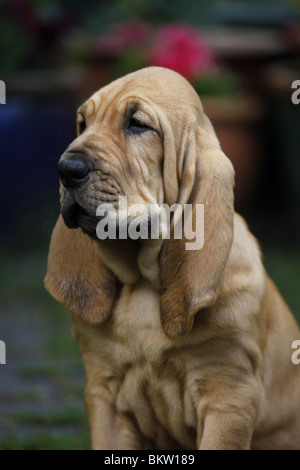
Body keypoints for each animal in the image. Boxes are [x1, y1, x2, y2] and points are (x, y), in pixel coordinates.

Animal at [44, 68, 300, 450]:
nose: (66, 169)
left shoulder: (230, 394)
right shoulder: (104, 393)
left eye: (137, 124)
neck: (144, 283)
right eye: (82, 123)